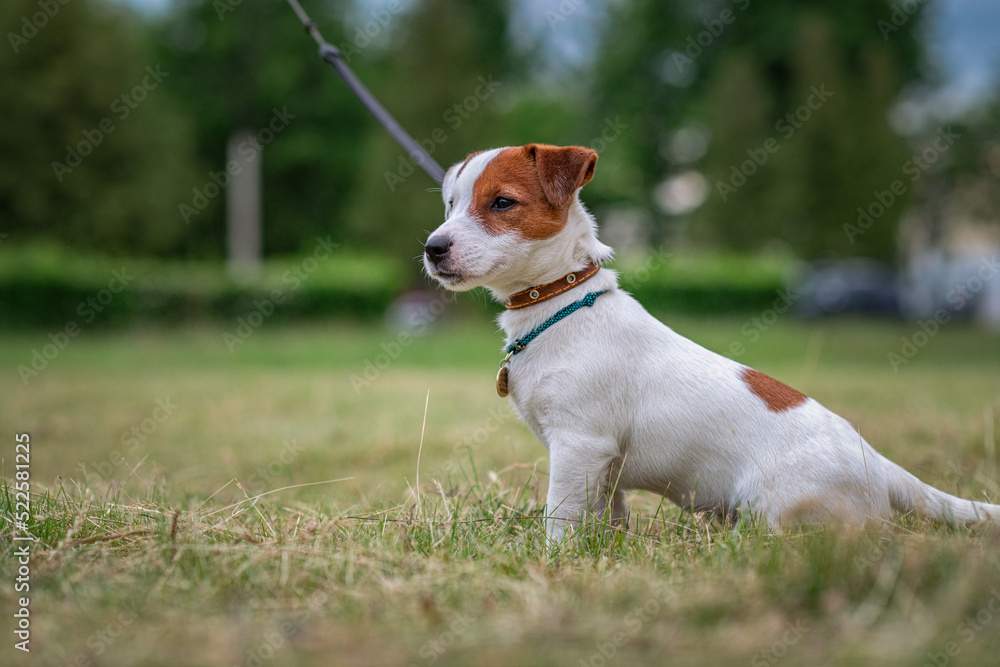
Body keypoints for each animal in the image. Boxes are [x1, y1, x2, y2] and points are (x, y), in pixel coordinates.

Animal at [422, 144, 1000, 540]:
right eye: (450, 205)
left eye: (502, 203)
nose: (432, 247)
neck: (559, 303)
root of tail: (878, 463)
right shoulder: (602, 463)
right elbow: (607, 515)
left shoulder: (579, 445)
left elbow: (560, 518)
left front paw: (556, 561)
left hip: (774, 505)